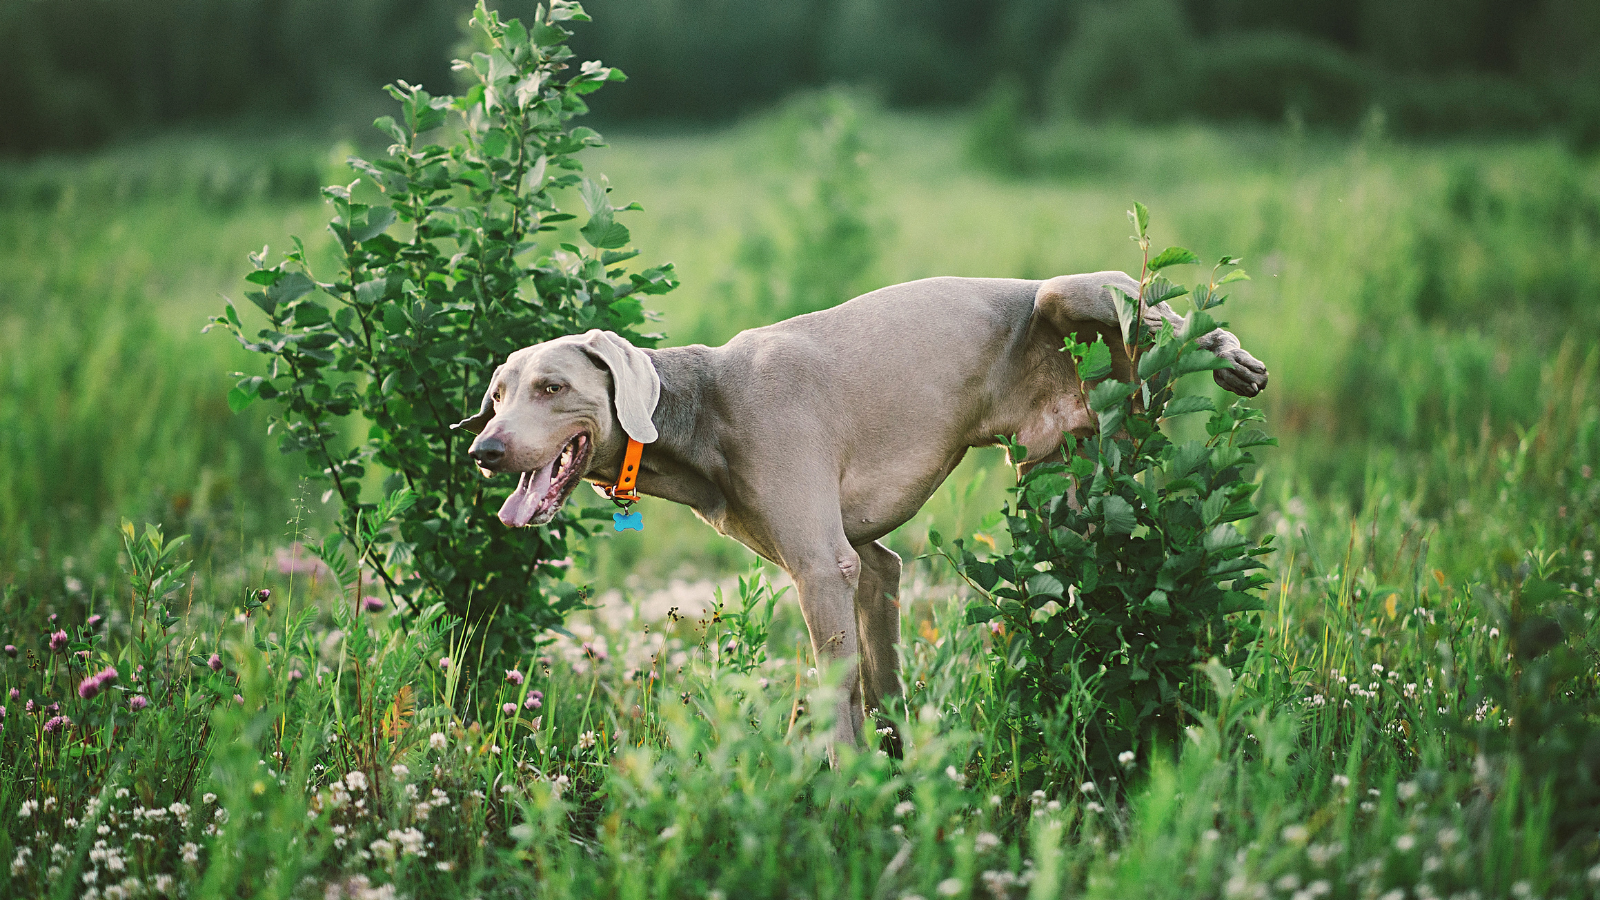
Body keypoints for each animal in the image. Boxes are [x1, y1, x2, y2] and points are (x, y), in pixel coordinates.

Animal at [457, 269, 1267, 746]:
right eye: (497, 394)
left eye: (553, 388)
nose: (484, 451)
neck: (701, 413)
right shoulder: (869, 563)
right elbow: (878, 679)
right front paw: (891, 769)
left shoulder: (823, 566)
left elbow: (834, 688)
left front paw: (835, 789)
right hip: (1065, 476)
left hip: (1074, 296)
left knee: (1171, 317)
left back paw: (1232, 355)